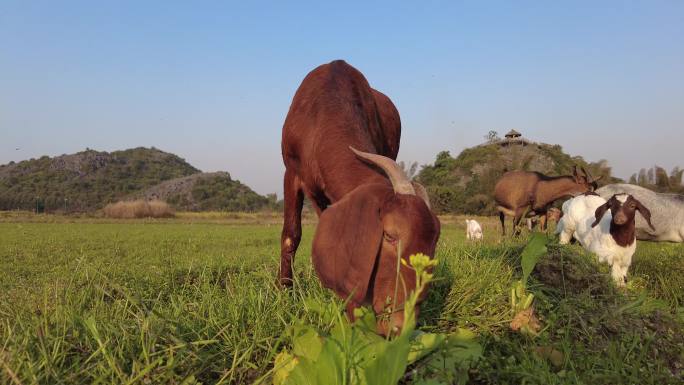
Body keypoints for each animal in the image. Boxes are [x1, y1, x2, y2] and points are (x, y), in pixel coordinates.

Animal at [280, 59, 440, 332]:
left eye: (433, 245)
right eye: (389, 236)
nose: (400, 327)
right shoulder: (292, 173)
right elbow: (291, 236)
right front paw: (284, 293)